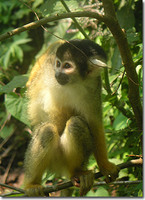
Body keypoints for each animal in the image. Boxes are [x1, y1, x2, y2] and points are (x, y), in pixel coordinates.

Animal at [23, 39, 119, 197]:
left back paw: (77, 173)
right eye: (58, 63)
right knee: (46, 131)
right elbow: (50, 50)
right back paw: (32, 184)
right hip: (53, 159)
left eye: (67, 66)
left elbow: (94, 124)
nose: (57, 73)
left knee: (76, 124)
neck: (71, 83)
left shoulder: (93, 86)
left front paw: (105, 165)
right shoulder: (49, 62)